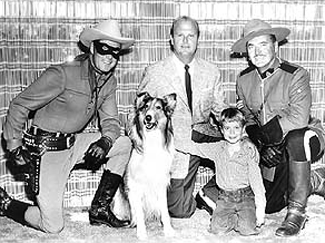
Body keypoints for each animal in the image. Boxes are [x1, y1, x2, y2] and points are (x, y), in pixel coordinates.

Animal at [115, 91, 176, 239]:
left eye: (159, 107)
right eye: (145, 107)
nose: (148, 118)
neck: (152, 140)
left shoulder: (160, 184)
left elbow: (164, 210)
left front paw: (168, 230)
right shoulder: (135, 186)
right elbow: (140, 213)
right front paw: (142, 233)